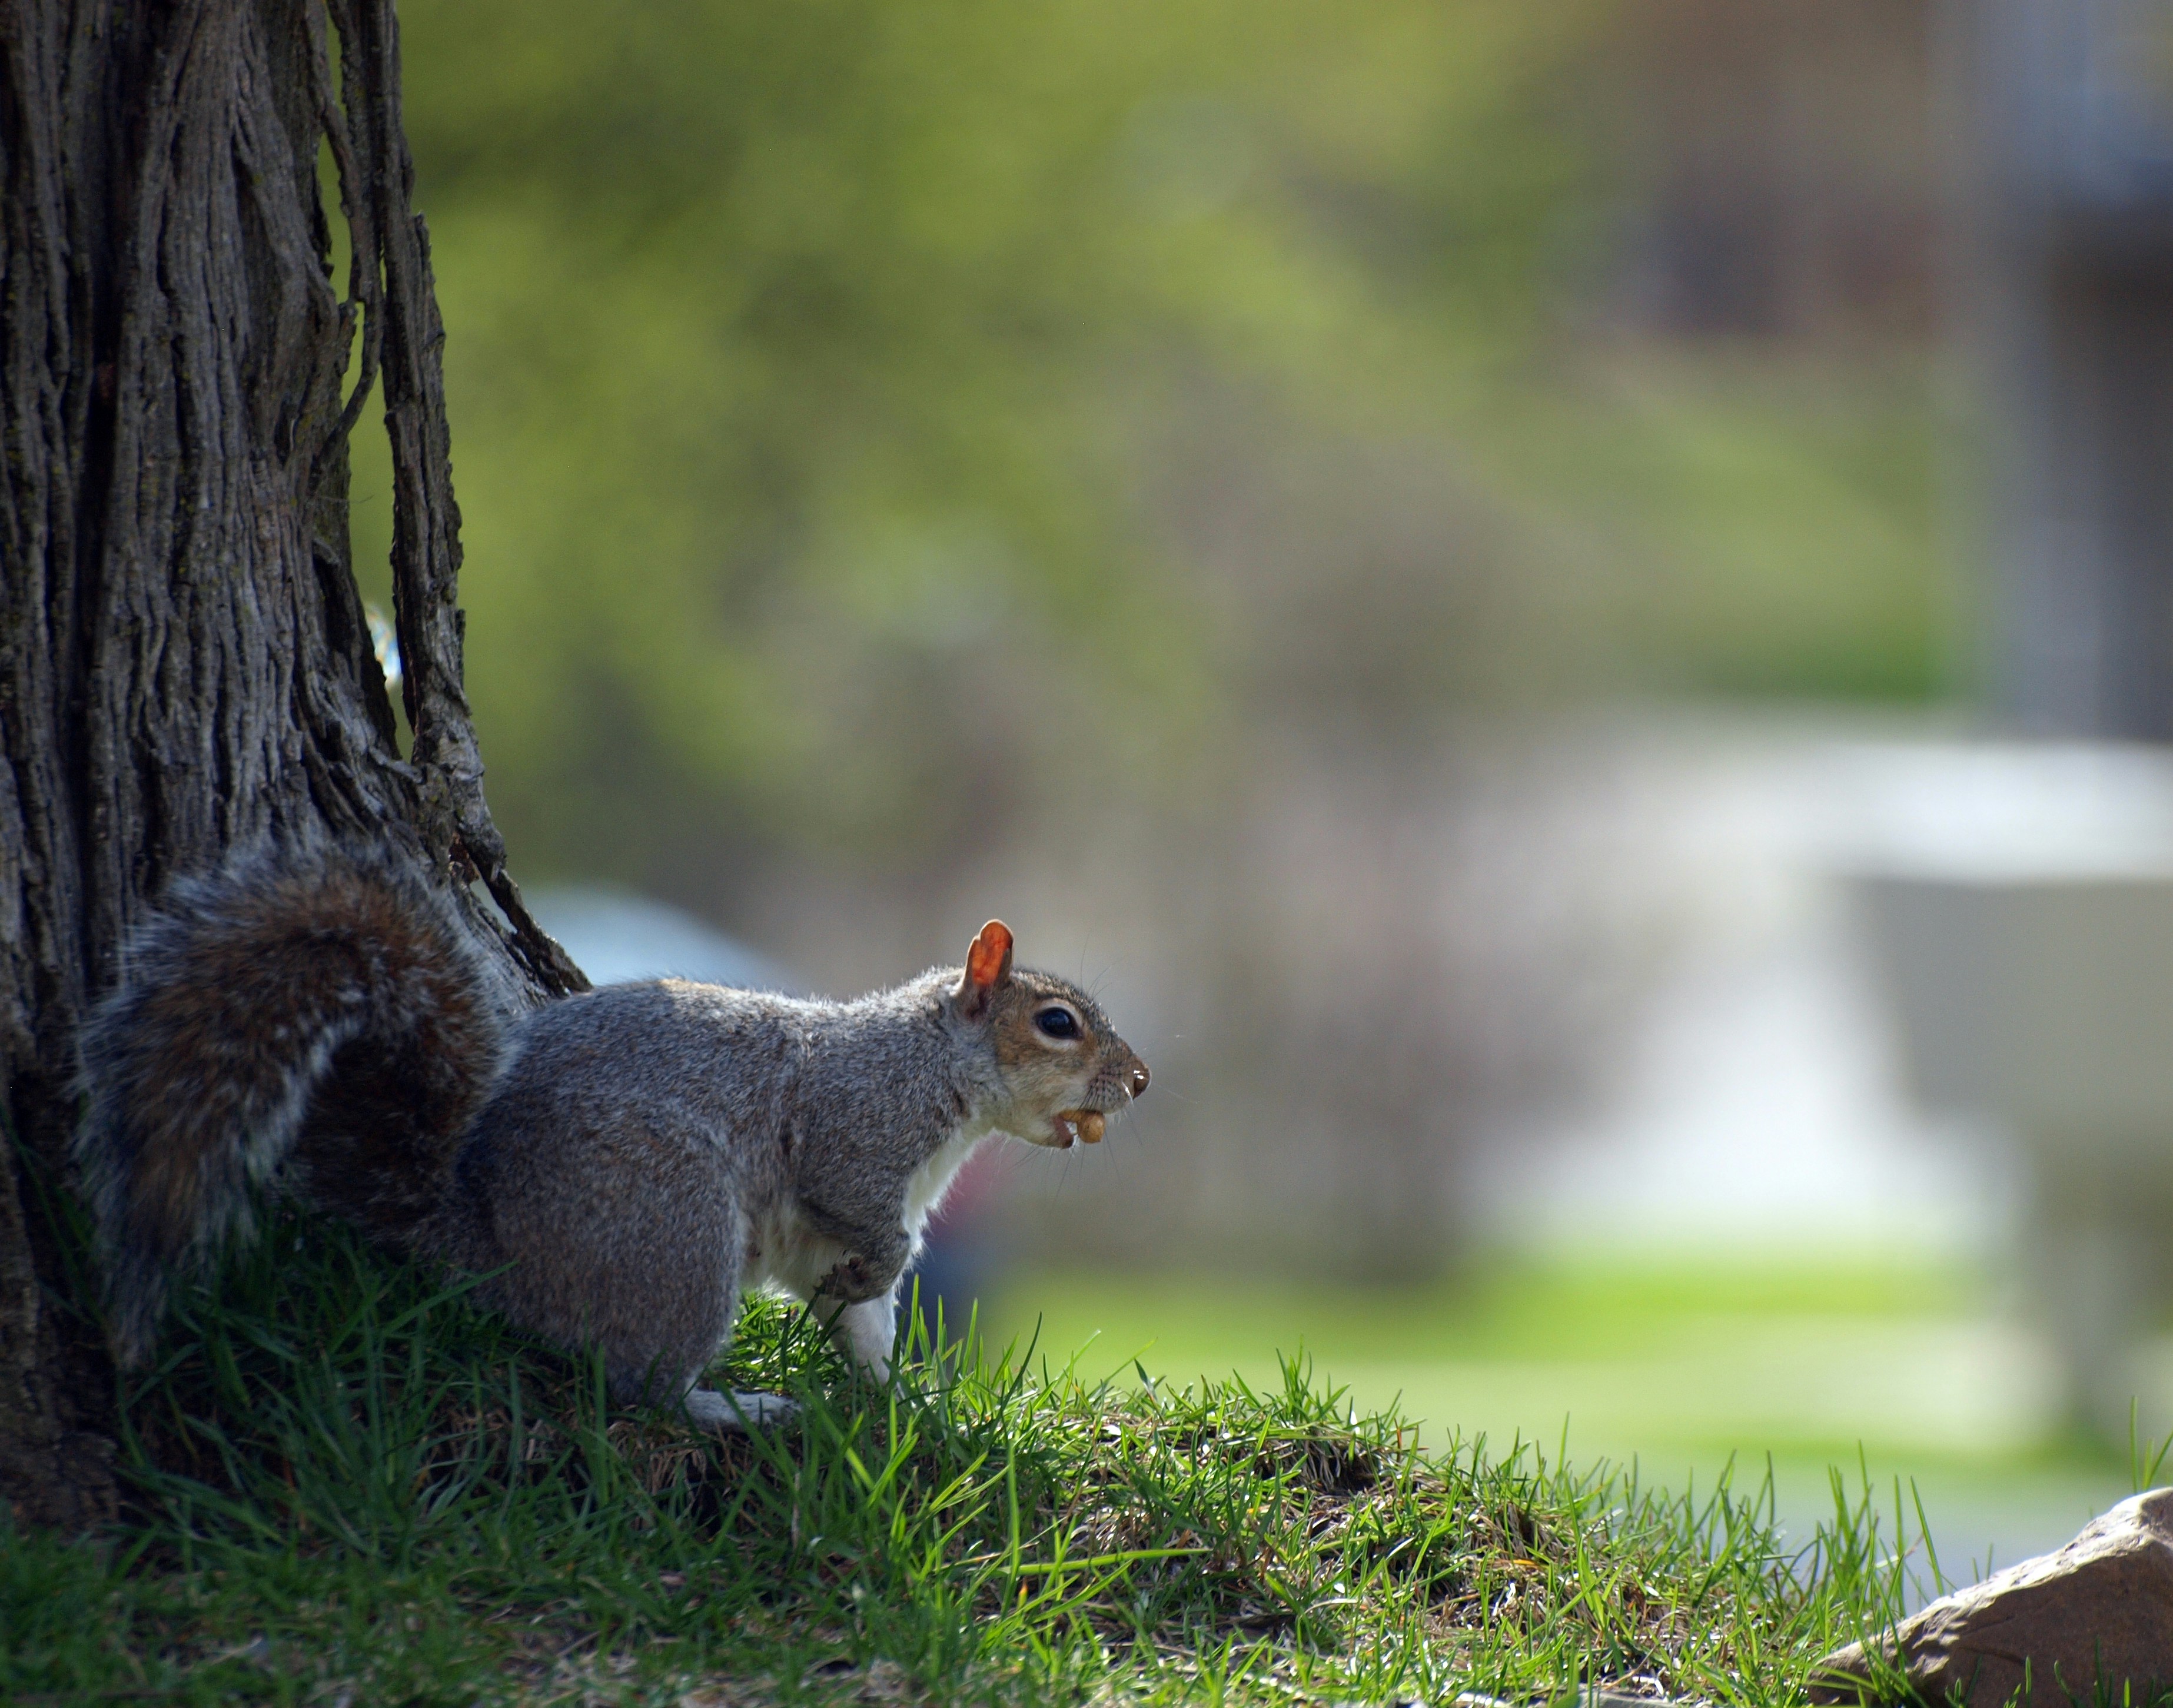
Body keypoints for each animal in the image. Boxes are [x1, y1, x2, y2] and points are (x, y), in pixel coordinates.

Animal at [72, 845, 1148, 1431]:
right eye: (1058, 1023)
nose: (1138, 1081)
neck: (939, 1070)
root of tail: (486, 1249)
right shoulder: (858, 1128)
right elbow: (862, 1224)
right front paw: (878, 1298)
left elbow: (863, 1323)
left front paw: (905, 1404)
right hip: (673, 1225)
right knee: (640, 1386)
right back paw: (732, 1407)